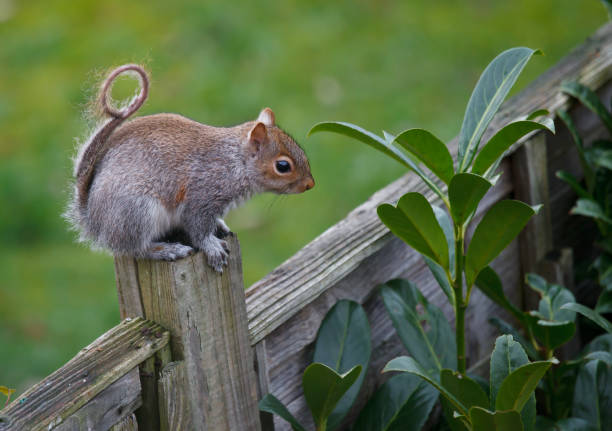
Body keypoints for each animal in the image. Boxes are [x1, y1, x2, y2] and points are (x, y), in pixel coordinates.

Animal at [67, 63, 316, 274]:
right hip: (136, 212)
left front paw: (220, 226)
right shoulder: (201, 194)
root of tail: (93, 220)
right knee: (134, 248)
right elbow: (197, 227)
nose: (310, 184)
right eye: (282, 166)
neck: (234, 161)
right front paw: (212, 248)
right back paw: (166, 250)